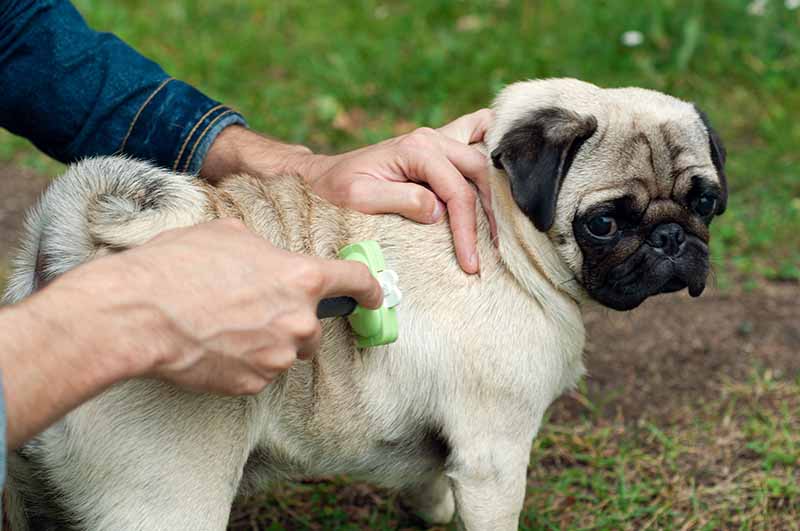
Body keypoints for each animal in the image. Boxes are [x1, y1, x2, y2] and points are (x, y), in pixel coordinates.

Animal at [3, 77, 724, 528]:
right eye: (603, 223)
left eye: (706, 201)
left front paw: (429, 510)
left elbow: (428, 475)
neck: (501, 231)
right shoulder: (494, 456)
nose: (671, 238)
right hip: (164, 497)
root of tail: (72, 247)